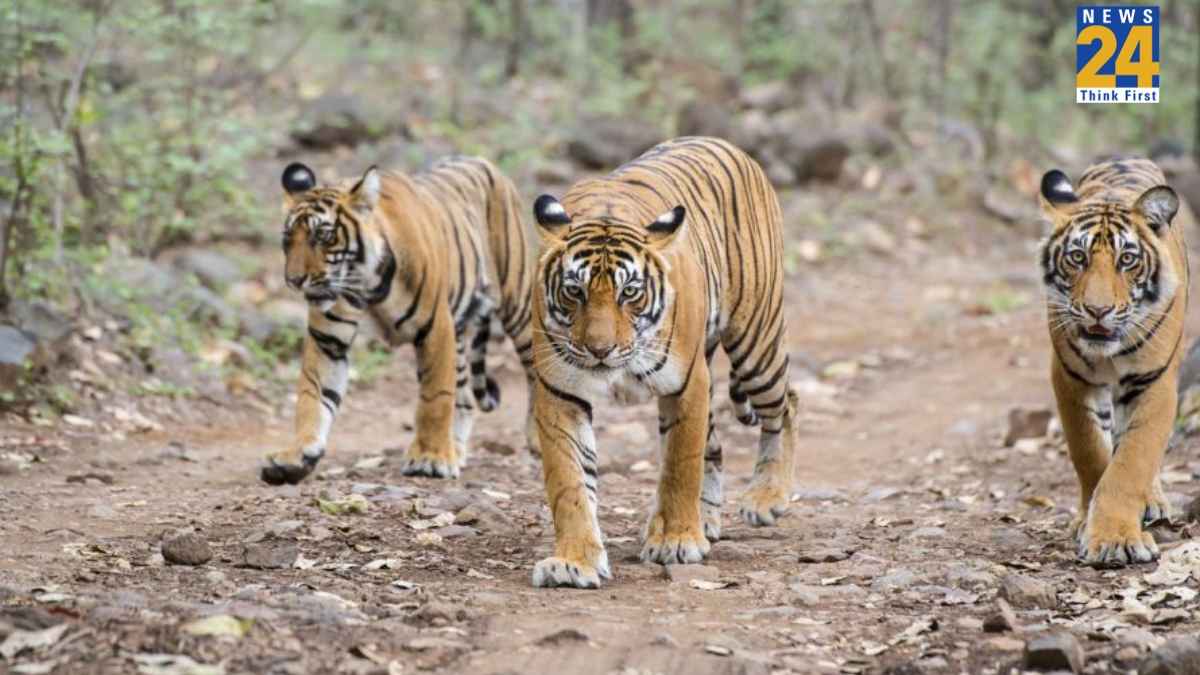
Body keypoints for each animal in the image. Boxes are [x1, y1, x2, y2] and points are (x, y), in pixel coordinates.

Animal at [260, 157, 537, 485]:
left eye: (323, 236)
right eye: (287, 239)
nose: (294, 280)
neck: (366, 285)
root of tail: (482, 161)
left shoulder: (435, 328)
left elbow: (435, 398)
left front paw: (430, 458)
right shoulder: (328, 341)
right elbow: (312, 395)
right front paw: (297, 455)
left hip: (518, 303)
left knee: (534, 370)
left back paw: (534, 439)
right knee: (465, 395)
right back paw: (455, 450)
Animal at [528, 136, 795, 588]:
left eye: (630, 292)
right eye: (574, 291)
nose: (600, 350)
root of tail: (724, 143)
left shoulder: (686, 383)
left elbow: (680, 466)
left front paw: (676, 541)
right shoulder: (560, 390)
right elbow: (569, 482)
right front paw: (574, 561)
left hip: (756, 343)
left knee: (785, 404)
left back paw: (766, 498)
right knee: (715, 445)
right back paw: (707, 519)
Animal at [1038, 158, 1188, 567]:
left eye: (1127, 260)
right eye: (1078, 257)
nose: (1097, 310)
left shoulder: (1154, 382)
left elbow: (1131, 462)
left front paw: (1116, 538)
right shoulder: (1070, 378)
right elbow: (1090, 451)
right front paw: (1089, 524)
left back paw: (1153, 501)